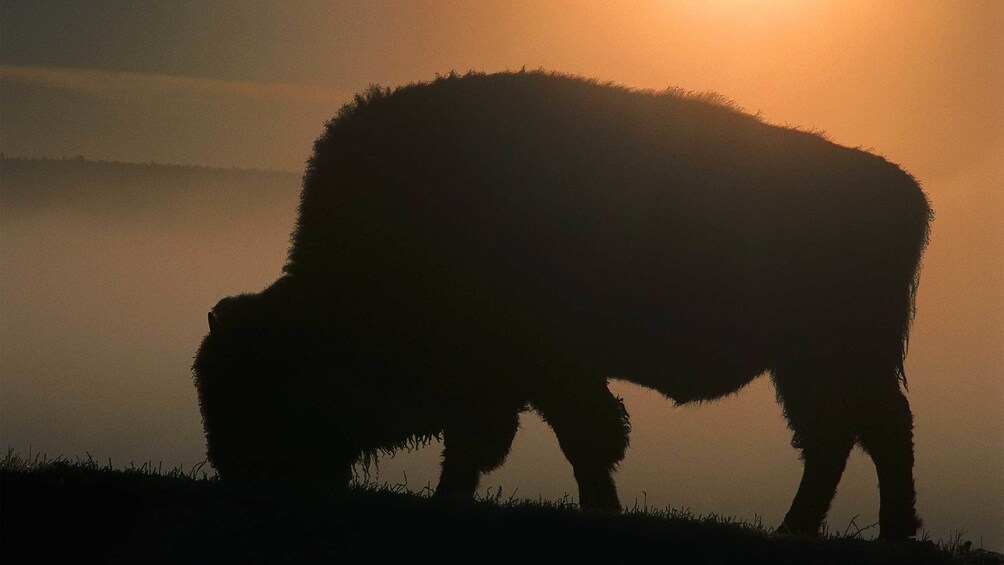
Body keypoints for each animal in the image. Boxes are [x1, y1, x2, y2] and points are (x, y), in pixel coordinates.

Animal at [191, 70, 927, 537]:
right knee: (843, 435)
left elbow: (580, 437)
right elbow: (502, 441)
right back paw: (812, 529)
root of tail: (903, 188)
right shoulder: (512, 379)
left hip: (833, 358)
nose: (239, 473)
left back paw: (876, 532)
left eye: (259, 386)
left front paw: (596, 509)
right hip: (806, 365)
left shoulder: (544, 370)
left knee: (870, 431)